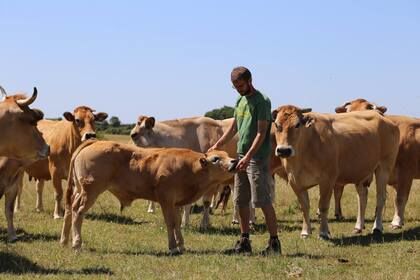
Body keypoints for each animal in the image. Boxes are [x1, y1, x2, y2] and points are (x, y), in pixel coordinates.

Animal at [59, 140, 238, 254]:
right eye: (216, 159)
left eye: (226, 154)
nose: (234, 162)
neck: (189, 167)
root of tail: (95, 142)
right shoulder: (166, 200)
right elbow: (171, 223)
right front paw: (173, 247)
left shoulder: (175, 203)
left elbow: (177, 223)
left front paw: (181, 245)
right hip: (90, 191)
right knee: (78, 212)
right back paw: (76, 244)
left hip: (79, 190)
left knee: (69, 209)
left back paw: (64, 240)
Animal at [270, 105, 398, 238]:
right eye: (277, 125)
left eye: (297, 125)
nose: (284, 150)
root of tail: (382, 116)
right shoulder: (295, 182)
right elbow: (304, 207)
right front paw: (305, 232)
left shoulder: (327, 180)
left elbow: (323, 206)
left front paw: (323, 232)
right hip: (361, 171)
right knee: (362, 198)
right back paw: (358, 226)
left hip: (384, 167)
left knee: (380, 197)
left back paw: (377, 227)